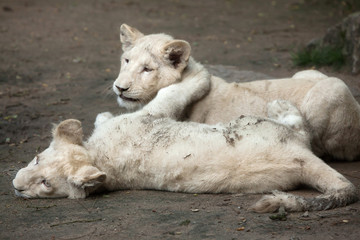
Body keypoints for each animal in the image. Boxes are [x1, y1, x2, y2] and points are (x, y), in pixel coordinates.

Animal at [13, 73, 358, 212]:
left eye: (43, 177)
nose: (15, 186)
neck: (97, 156)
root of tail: (301, 159)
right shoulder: (151, 114)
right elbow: (173, 92)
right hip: (260, 124)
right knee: (300, 128)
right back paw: (280, 106)